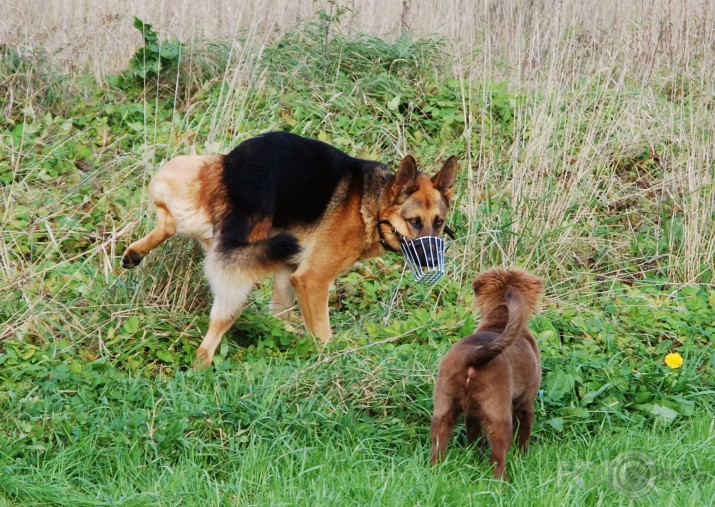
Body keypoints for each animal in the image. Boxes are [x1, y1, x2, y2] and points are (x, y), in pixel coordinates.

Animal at [121, 131, 458, 370]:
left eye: (439, 223)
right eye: (414, 222)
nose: (432, 263)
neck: (372, 207)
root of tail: (241, 177)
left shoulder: (287, 274)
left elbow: (278, 316)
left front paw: (291, 333)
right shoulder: (312, 279)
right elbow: (322, 334)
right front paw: (332, 359)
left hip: (192, 171)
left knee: (167, 214)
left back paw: (135, 252)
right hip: (239, 273)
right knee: (213, 335)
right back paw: (201, 365)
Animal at [430, 268, 544, 482]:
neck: (500, 321)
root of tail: (473, 355)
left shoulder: (472, 415)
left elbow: (475, 441)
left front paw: (475, 460)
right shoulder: (526, 405)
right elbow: (523, 438)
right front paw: (523, 459)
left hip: (443, 409)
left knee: (437, 444)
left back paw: (435, 473)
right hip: (499, 416)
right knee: (499, 455)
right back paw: (501, 483)